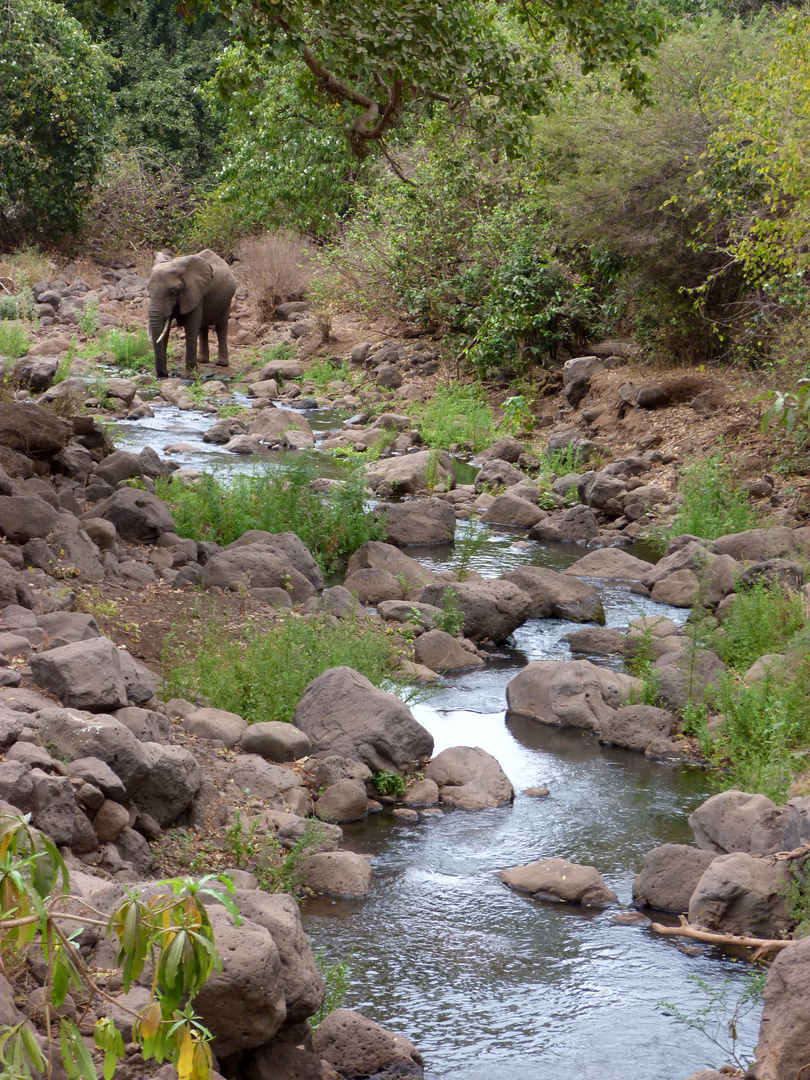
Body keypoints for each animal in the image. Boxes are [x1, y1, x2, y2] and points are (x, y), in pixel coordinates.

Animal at [147, 248, 236, 380]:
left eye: (172, 291)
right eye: (148, 290)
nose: (164, 374)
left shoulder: (195, 293)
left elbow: (191, 328)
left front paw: (189, 376)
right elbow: (165, 332)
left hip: (227, 299)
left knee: (221, 326)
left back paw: (222, 363)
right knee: (203, 327)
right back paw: (202, 360)